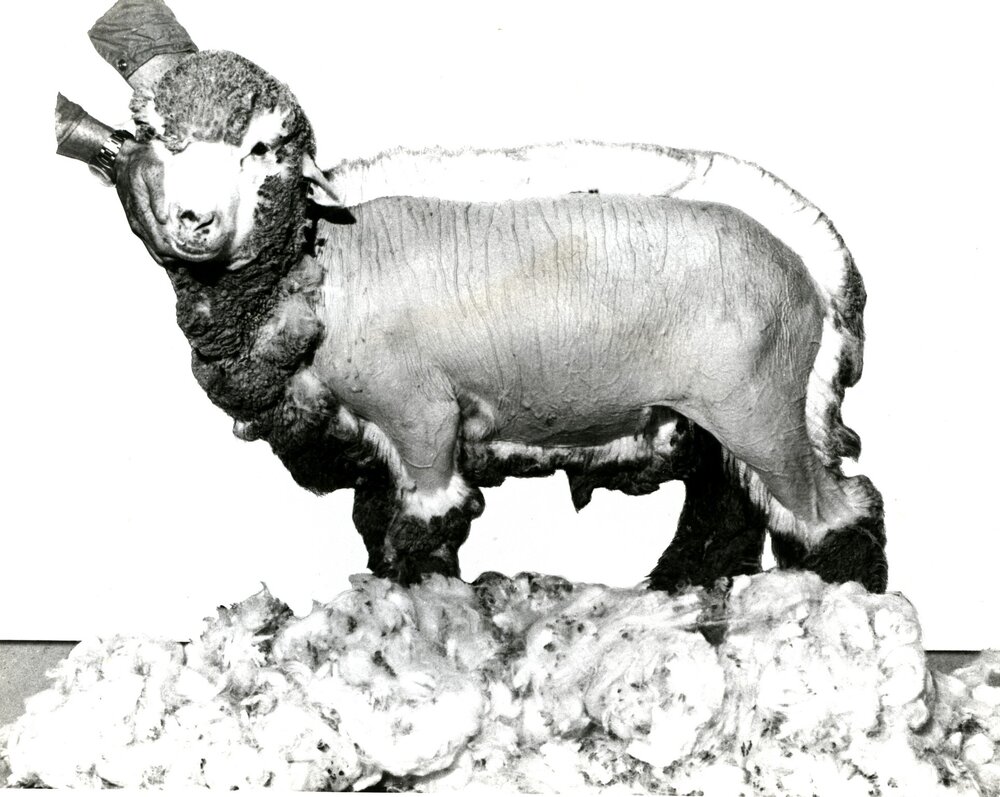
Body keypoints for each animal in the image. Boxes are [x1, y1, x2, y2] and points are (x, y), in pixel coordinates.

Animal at [112, 50, 885, 591]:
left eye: (259, 151)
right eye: (157, 141)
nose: (195, 221)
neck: (322, 258)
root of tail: (817, 262)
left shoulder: (421, 415)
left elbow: (427, 525)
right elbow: (376, 523)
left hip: (760, 408)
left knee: (836, 512)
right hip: (717, 420)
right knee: (730, 504)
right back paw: (684, 586)